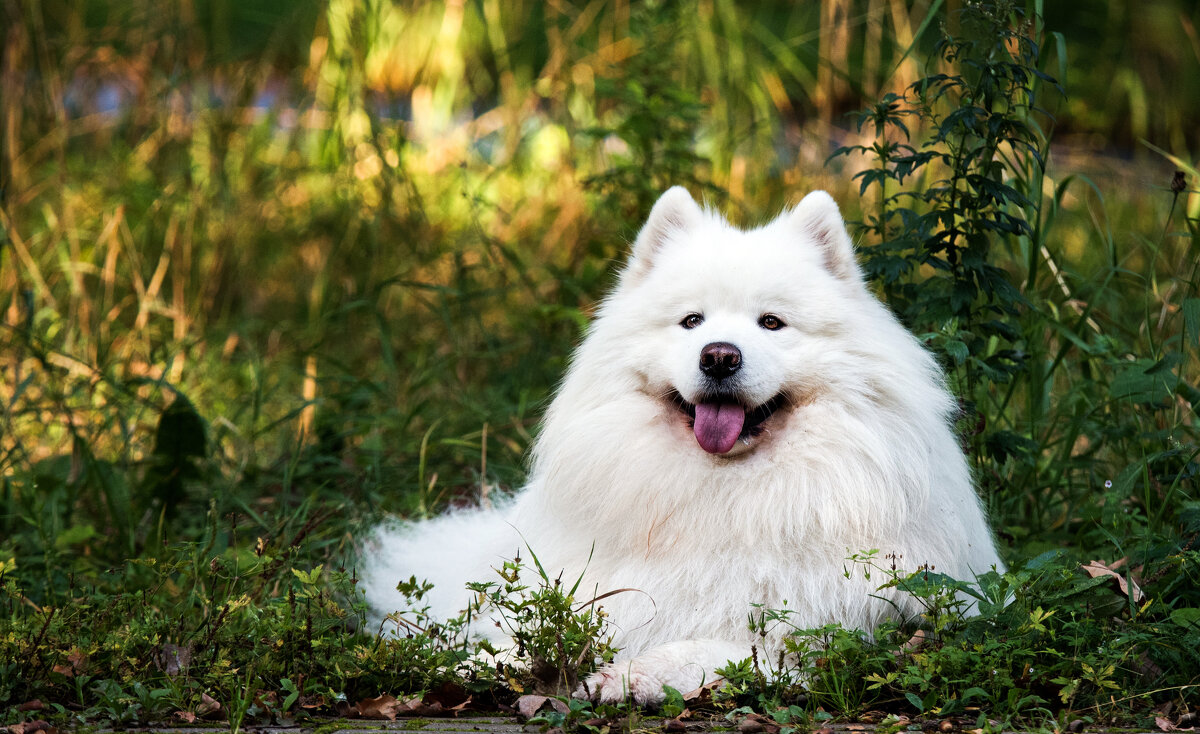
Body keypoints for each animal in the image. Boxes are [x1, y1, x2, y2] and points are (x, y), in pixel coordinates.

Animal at [362, 188, 1003, 705]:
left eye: (772, 323)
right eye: (692, 321)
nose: (719, 356)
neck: (720, 491)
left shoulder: (805, 633)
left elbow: (707, 648)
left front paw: (630, 676)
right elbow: (523, 640)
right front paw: (459, 663)